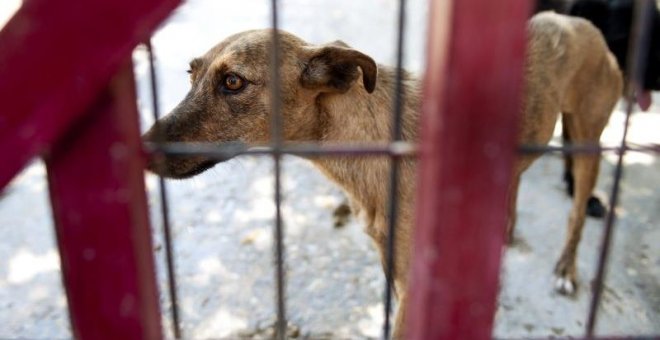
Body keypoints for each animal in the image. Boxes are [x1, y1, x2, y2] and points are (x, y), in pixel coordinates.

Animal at [144, 12, 624, 338]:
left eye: (233, 82)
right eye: (191, 74)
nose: (143, 148)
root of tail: (577, 20)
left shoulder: (414, 282)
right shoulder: (392, 262)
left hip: (587, 141)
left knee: (577, 212)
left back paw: (566, 268)